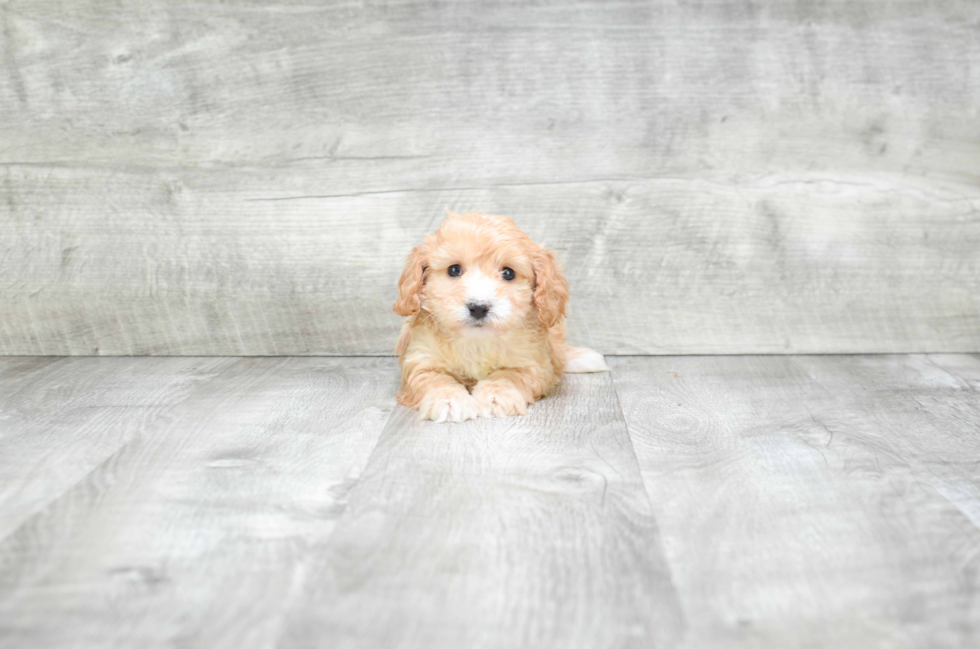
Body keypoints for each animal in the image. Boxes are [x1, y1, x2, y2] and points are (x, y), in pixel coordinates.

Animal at [394, 210, 608, 422]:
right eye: (454, 270)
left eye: (508, 273)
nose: (478, 307)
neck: (477, 342)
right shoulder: (420, 360)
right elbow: (435, 379)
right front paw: (447, 401)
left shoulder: (532, 363)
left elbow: (507, 376)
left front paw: (496, 396)